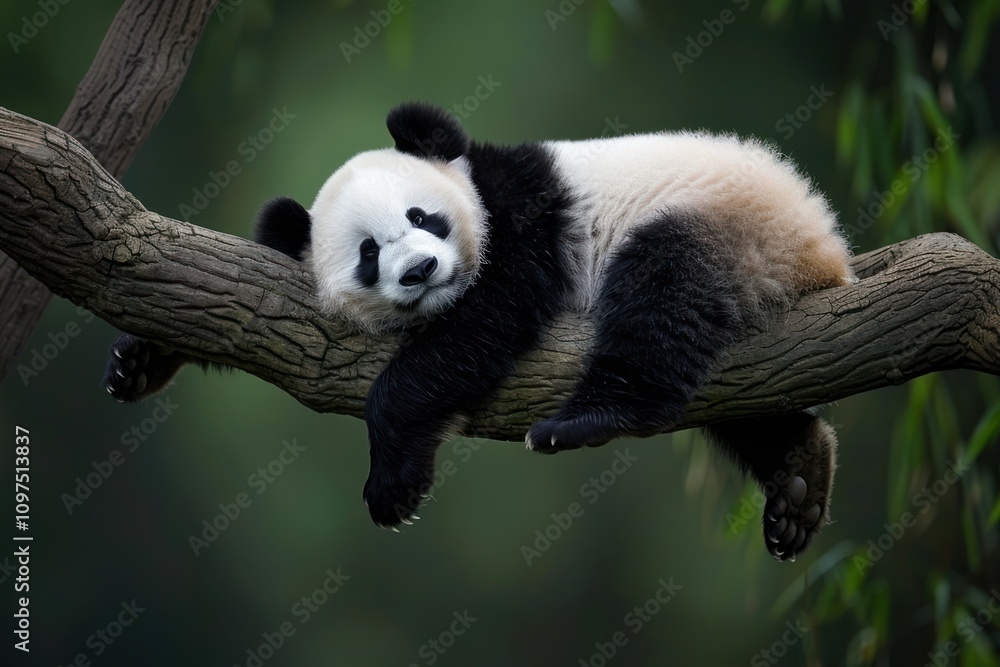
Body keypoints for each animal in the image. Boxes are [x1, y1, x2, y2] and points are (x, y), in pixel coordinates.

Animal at [105, 102, 853, 562]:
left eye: (422, 217)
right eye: (369, 252)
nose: (420, 271)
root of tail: (823, 248)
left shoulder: (524, 218)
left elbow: (483, 324)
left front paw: (393, 483)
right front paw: (142, 359)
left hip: (729, 226)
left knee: (663, 292)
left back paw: (590, 417)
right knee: (735, 395)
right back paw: (798, 476)